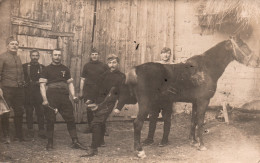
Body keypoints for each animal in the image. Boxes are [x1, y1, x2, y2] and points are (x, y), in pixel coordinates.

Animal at [100, 35, 258, 158]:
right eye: (243, 45)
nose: (256, 61)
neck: (206, 68)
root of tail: (134, 70)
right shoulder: (203, 101)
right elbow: (200, 122)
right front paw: (202, 145)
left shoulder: (195, 102)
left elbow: (193, 121)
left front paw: (193, 141)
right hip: (144, 104)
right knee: (137, 123)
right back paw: (139, 151)